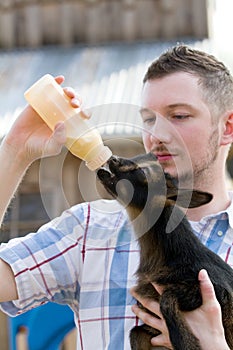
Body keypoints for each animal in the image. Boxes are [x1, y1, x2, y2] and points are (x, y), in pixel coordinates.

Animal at [97, 154, 233, 350]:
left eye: (144, 172)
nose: (114, 159)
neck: (173, 255)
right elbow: (136, 333)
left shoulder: (213, 290)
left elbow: (166, 300)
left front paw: (187, 343)